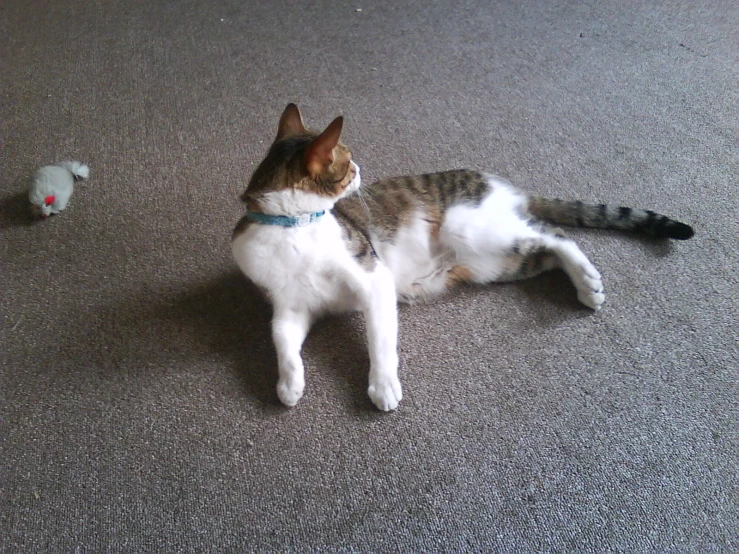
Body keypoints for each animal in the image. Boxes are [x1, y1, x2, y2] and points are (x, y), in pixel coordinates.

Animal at [234, 103, 696, 410]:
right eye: (347, 162)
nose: (361, 169)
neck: (292, 228)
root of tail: (501, 185)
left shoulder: (372, 277)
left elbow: (381, 342)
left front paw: (383, 386)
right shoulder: (293, 307)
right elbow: (282, 341)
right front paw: (289, 385)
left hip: (473, 229)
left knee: (557, 233)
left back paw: (589, 282)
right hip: (495, 262)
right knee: (547, 249)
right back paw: (585, 285)